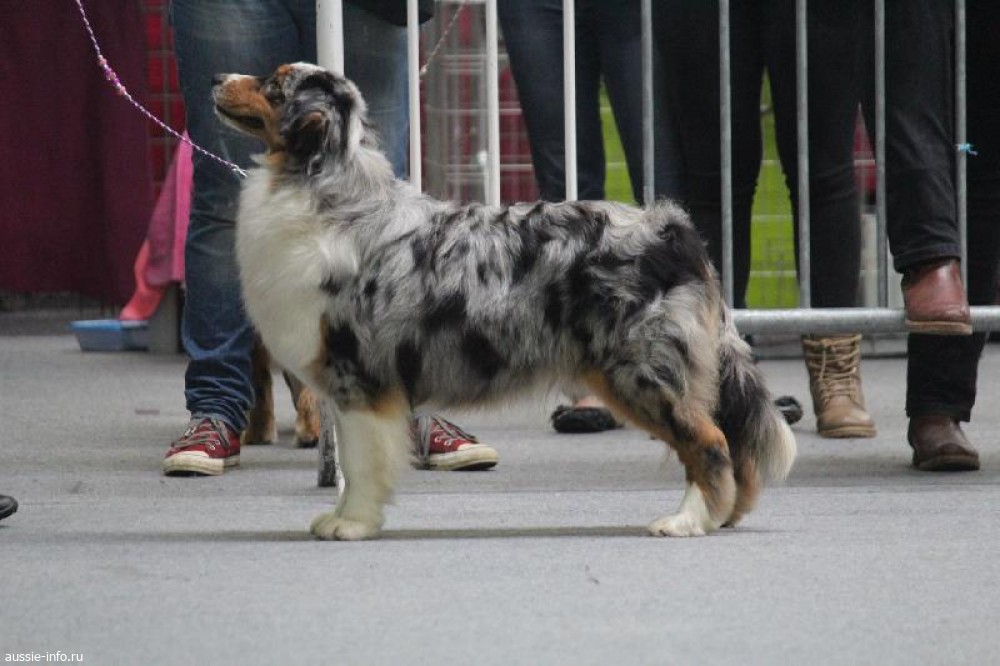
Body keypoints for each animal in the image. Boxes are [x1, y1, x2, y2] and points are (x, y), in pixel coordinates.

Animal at [212, 62, 796, 540]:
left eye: (273, 84)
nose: (217, 78)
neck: (321, 186)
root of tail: (675, 231)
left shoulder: (358, 373)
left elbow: (358, 462)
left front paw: (350, 523)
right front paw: (349, 517)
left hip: (642, 369)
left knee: (710, 442)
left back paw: (686, 521)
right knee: (734, 445)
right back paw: (724, 515)